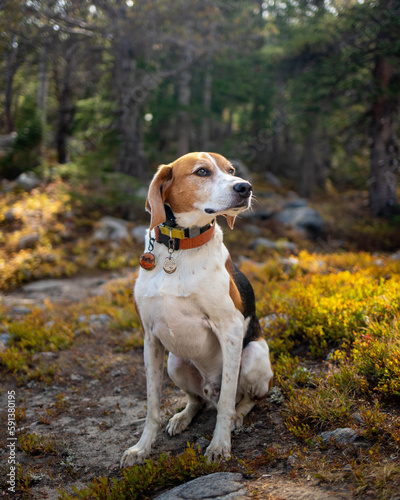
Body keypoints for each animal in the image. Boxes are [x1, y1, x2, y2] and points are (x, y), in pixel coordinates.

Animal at [120, 153, 274, 468]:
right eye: (202, 172)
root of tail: (208, 389)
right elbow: (152, 406)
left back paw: (237, 417)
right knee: (197, 401)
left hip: (253, 353)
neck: (179, 248)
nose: (245, 187)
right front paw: (141, 448)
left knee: (243, 400)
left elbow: (227, 401)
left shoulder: (230, 329)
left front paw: (219, 446)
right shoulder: (150, 339)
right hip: (175, 362)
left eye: (231, 170)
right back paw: (182, 417)